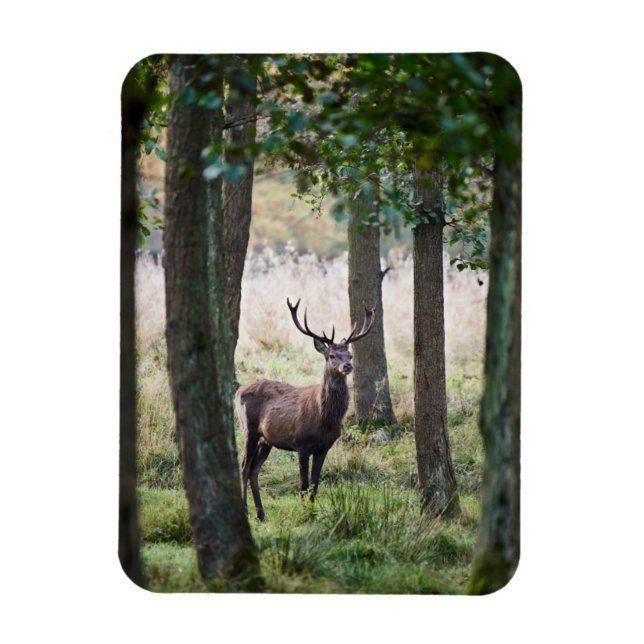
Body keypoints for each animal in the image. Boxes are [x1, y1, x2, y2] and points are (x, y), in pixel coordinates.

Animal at [234, 298, 375, 521]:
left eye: (350, 355)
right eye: (331, 355)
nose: (347, 366)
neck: (325, 419)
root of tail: (238, 391)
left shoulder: (323, 447)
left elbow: (315, 485)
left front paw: (313, 511)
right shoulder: (301, 443)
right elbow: (303, 484)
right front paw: (304, 513)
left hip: (266, 439)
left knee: (255, 469)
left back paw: (261, 514)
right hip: (249, 429)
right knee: (245, 468)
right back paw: (247, 511)